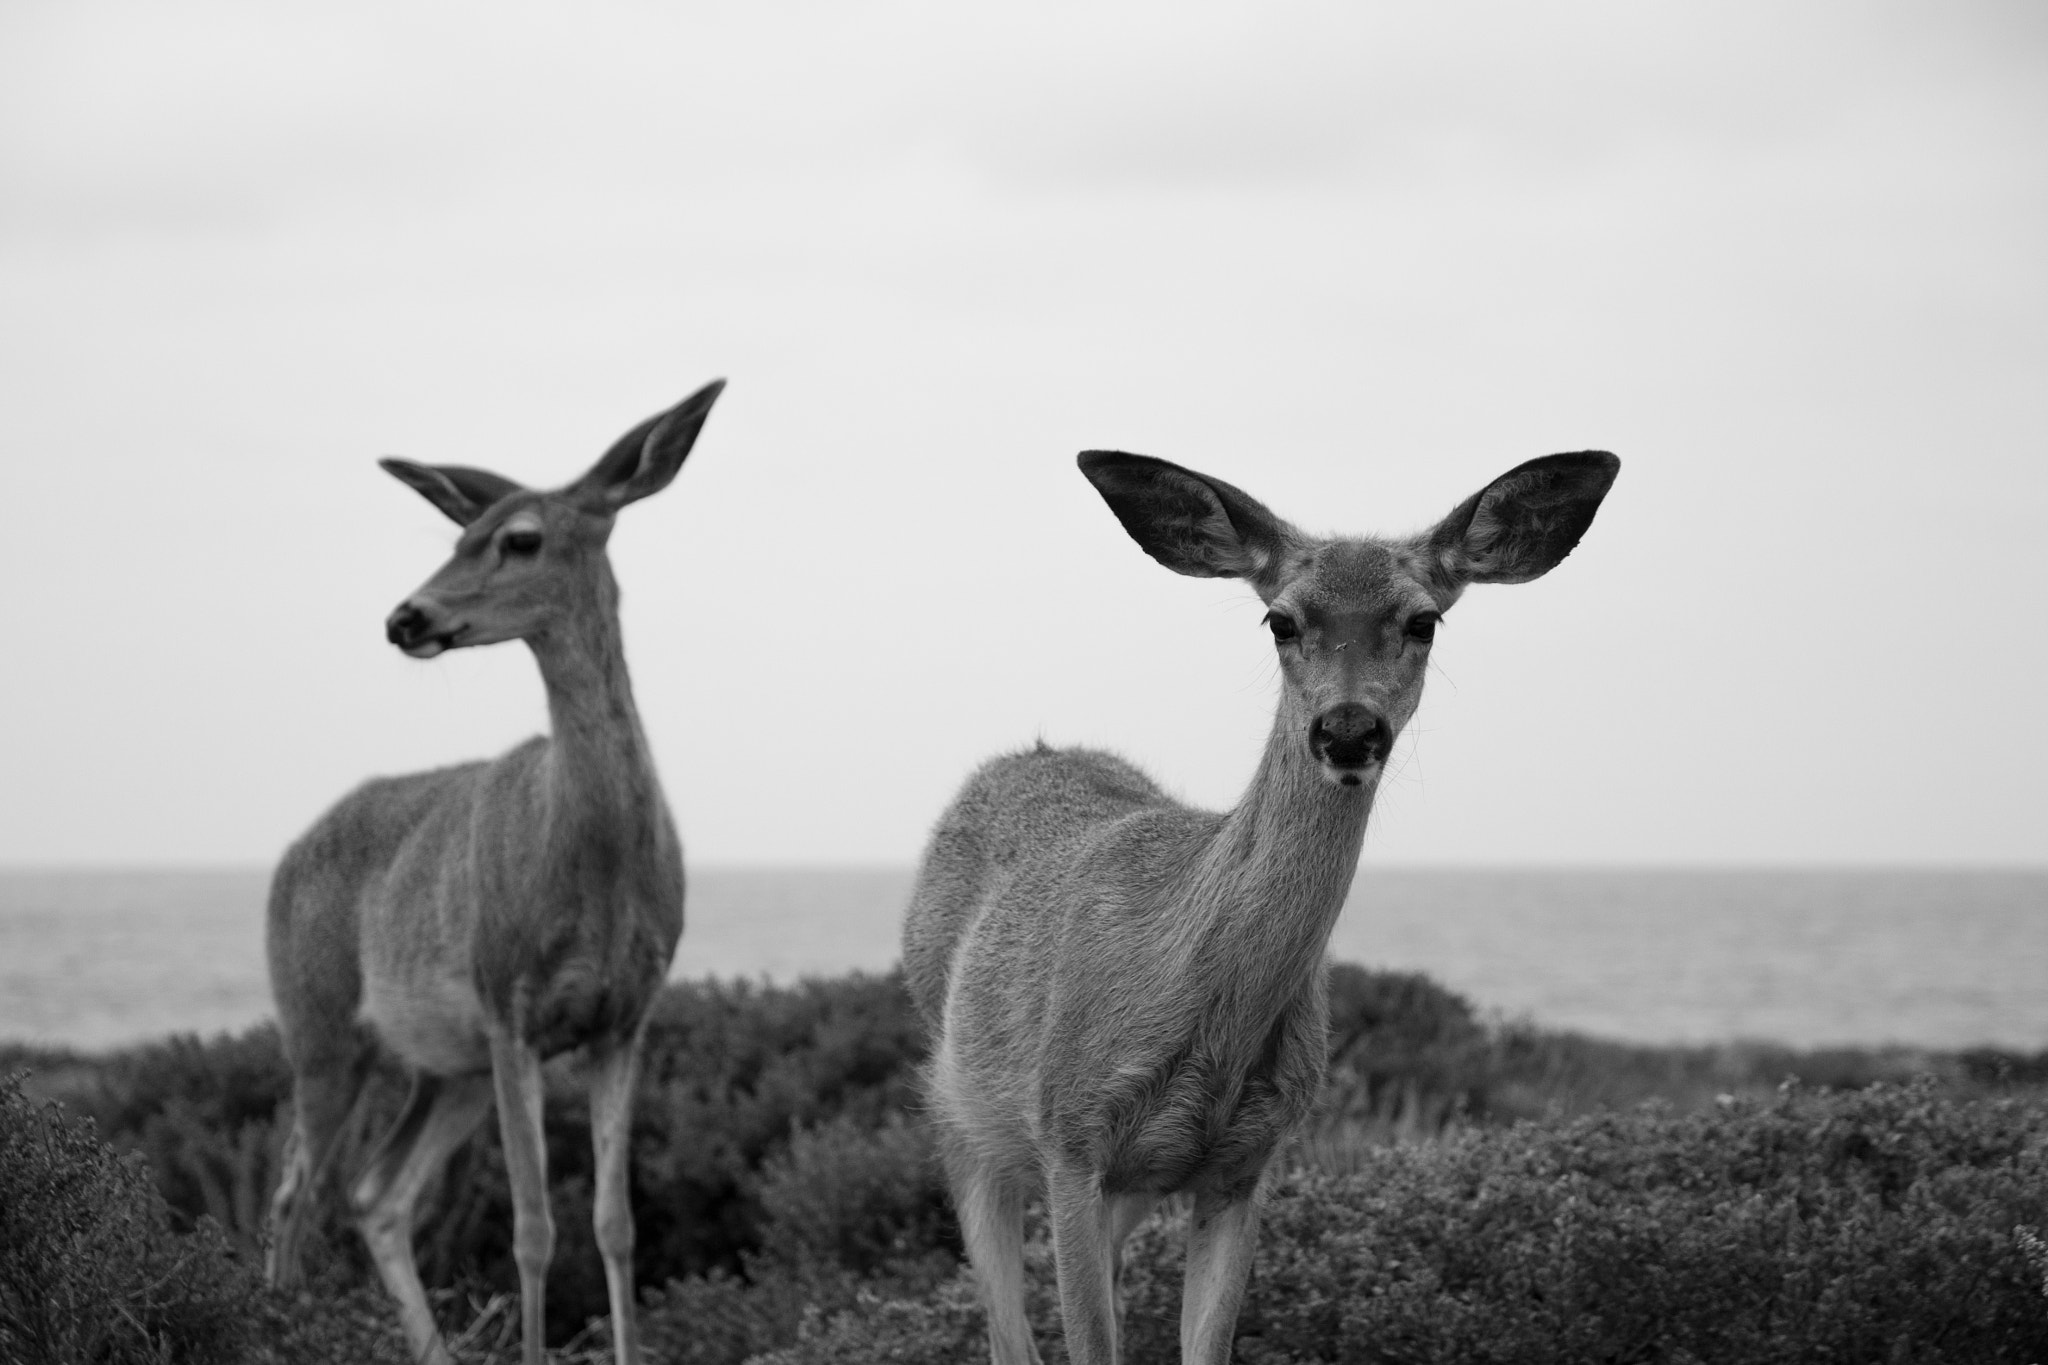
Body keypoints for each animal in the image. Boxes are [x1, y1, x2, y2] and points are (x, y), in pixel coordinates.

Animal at [262, 379, 724, 1365]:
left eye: (518, 538)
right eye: (456, 536)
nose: (404, 617)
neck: (595, 865)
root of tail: (289, 852)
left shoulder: (624, 1017)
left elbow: (615, 1222)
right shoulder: (509, 999)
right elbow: (533, 1227)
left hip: (448, 1067)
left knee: (376, 1191)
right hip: (318, 1021)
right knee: (294, 1191)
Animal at [901, 446, 1619, 1364]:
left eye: (1424, 620)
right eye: (1280, 619)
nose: (1347, 729)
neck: (1210, 1015)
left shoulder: (1245, 1160)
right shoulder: (1071, 1137)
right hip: (961, 1111)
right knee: (1006, 1326)